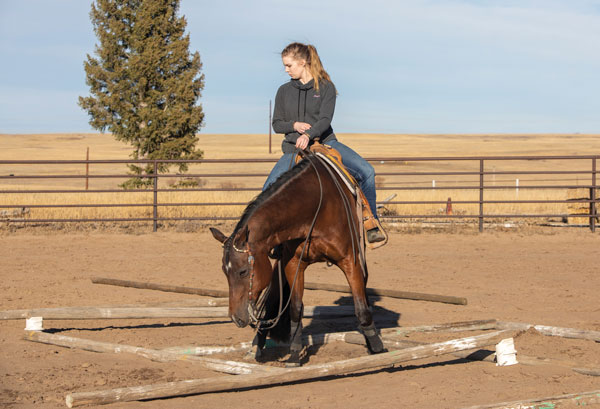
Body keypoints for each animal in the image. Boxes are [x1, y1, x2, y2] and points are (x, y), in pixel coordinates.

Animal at [209, 151, 382, 364]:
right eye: (225, 272)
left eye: (242, 271)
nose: (235, 318)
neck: (316, 207)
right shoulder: (292, 265)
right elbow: (295, 309)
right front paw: (294, 355)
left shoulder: (350, 260)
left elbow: (361, 307)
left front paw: (377, 348)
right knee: (270, 304)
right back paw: (256, 346)